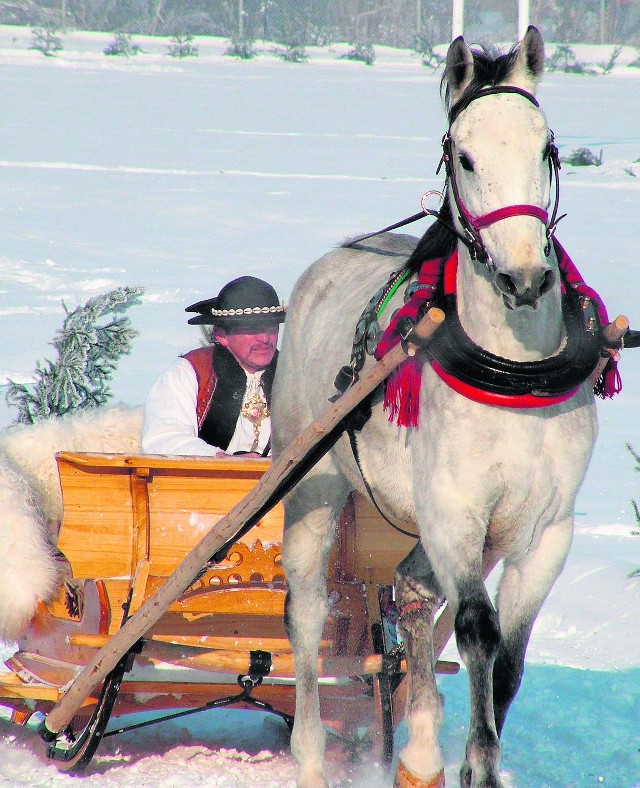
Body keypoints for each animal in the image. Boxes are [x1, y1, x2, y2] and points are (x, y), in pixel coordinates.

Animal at [270, 27, 600, 784]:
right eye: (467, 155)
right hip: (313, 485)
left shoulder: (546, 530)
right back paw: (310, 752)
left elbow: (507, 660)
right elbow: (477, 632)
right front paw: (480, 763)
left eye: (547, 148)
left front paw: (473, 759)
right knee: (307, 611)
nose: (526, 276)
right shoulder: (454, 511)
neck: (515, 370)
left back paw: (418, 747)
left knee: (413, 590)